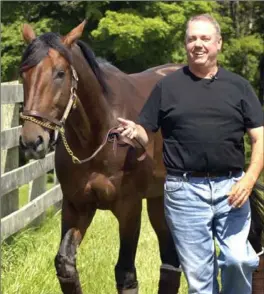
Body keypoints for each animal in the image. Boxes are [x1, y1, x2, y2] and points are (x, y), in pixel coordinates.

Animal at [19, 22, 183, 294]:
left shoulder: (129, 208)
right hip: (158, 200)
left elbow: (125, 273)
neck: (100, 135)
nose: (32, 141)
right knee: (170, 263)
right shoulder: (77, 206)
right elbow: (65, 264)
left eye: (60, 73)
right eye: (24, 73)